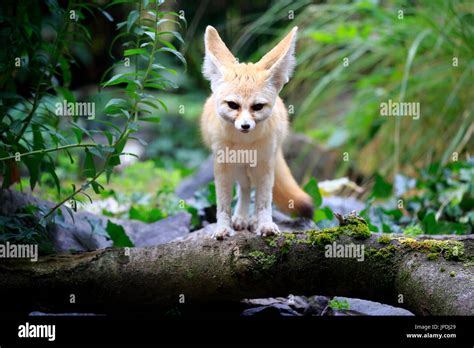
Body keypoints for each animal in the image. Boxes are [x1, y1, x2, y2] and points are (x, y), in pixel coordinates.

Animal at [201, 26, 314, 239]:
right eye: (233, 105)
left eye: (258, 107)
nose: (245, 126)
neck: (245, 144)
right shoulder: (222, 166)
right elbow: (223, 204)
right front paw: (223, 227)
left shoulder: (265, 164)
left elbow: (263, 201)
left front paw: (265, 224)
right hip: (239, 168)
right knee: (245, 188)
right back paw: (241, 218)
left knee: (252, 189)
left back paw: (251, 220)